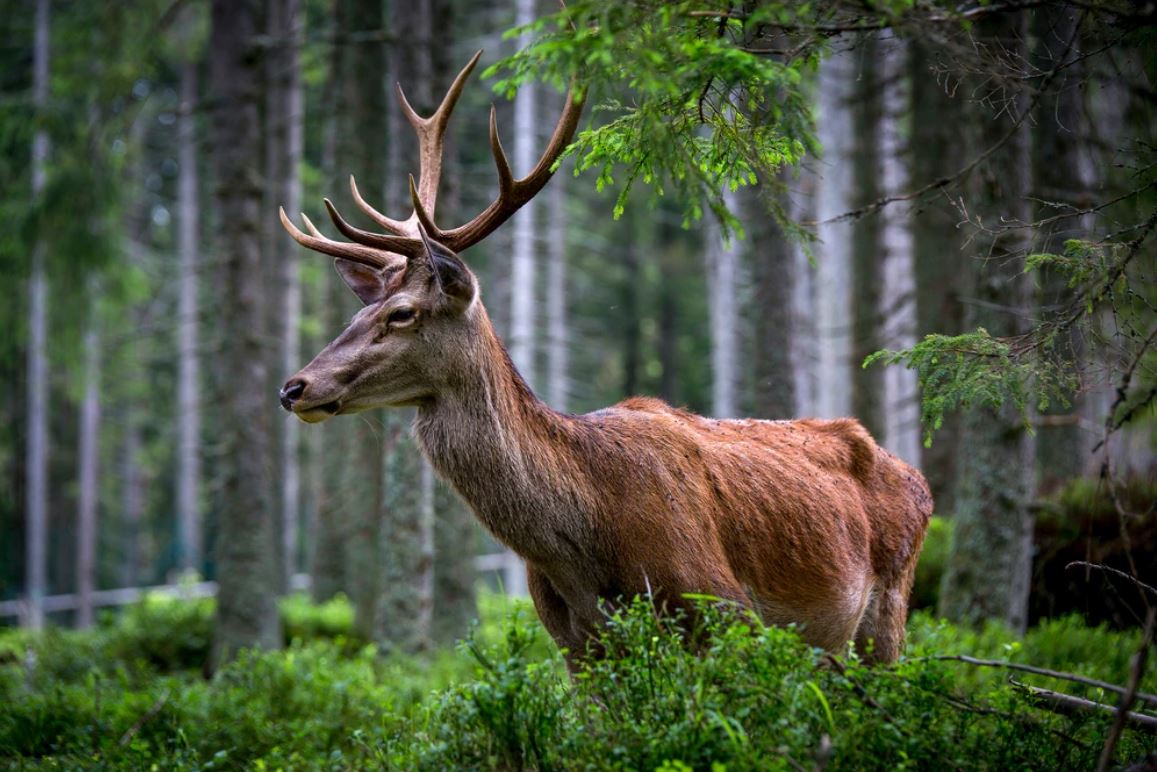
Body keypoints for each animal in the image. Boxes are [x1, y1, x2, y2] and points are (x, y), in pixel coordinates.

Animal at [276, 52, 933, 666]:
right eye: (356, 315)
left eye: (402, 313)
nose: (294, 388)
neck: (584, 538)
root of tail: (918, 479)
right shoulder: (574, 644)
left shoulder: (721, 610)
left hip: (888, 614)